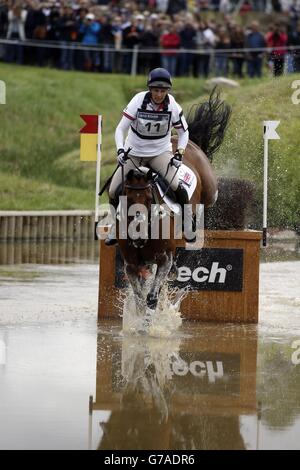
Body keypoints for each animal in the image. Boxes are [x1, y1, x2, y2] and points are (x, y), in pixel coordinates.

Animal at [116, 90, 231, 328]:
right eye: (127, 199)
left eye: (149, 198)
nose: (138, 236)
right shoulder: (132, 264)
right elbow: (140, 298)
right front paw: (140, 324)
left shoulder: (164, 259)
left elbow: (151, 297)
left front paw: (149, 327)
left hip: (210, 191)